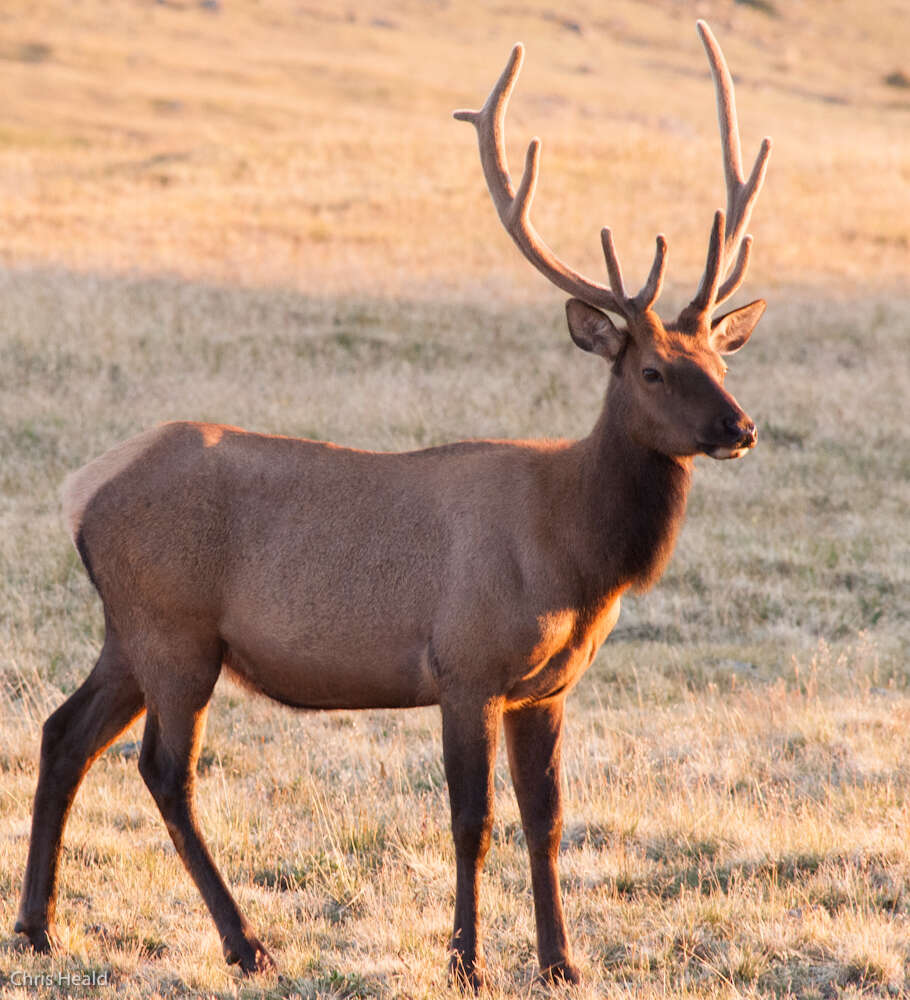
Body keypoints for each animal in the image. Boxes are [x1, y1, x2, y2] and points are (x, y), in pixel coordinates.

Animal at [14, 19, 768, 988]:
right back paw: (245, 942)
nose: (740, 427)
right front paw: (467, 963)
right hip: (175, 630)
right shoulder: (465, 666)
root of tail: (80, 491)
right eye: (652, 371)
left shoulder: (545, 687)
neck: (575, 558)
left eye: (719, 359)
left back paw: (38, 928)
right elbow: (472, 821)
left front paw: (562, 963)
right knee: (163, 772)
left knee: (63, 733)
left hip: (131, 632)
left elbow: (547, 820)